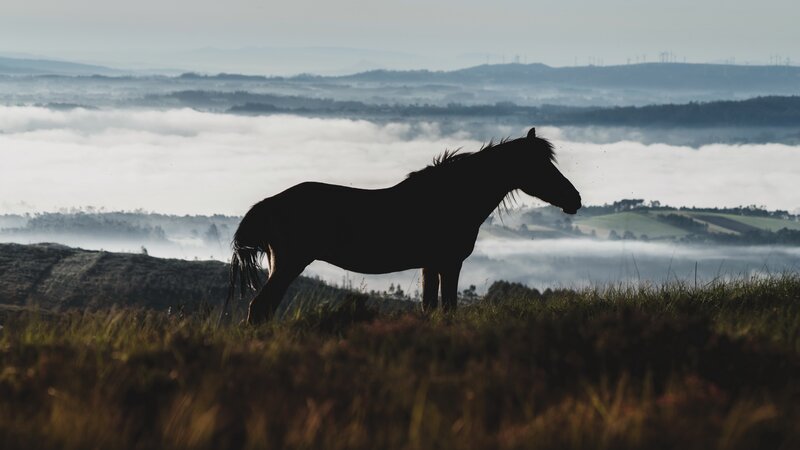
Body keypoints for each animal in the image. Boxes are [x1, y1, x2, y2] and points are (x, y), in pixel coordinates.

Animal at [224, 127, 581, 324]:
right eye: (542, 166)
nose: (574, 199)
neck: (452, 197)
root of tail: (268, 204)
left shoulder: (430, 266)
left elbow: (430, 307)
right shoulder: (449, 264)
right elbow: (447, 309)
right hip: (289, 264)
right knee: (260, 309)